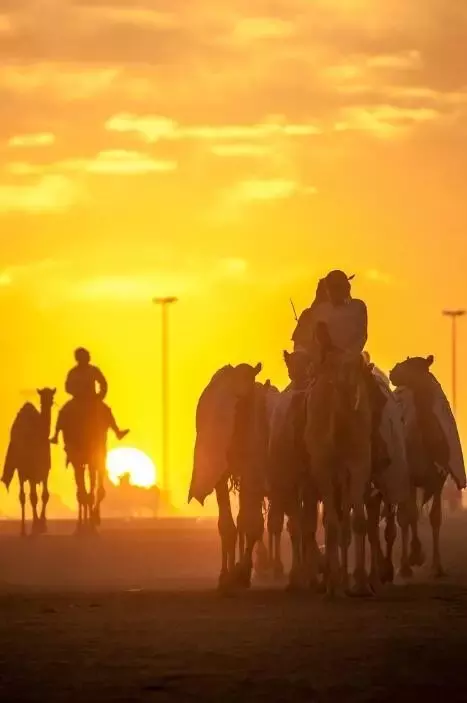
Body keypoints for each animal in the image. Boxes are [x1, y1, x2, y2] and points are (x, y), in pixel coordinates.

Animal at [1, 388, 56, 536]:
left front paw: (43, 524)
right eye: (41, 397)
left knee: (26, 496)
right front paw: (37, 525)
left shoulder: (45, 471)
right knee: (24, 497)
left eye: (52, 396)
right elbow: (34, 497)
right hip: (21, 471)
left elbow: (45, 495)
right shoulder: (32, 472)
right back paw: (23, 529)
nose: (48, 403)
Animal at [190, 366, 270, 592]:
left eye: (248, 397)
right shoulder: (223, 471)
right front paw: (225, 575)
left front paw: (241, 573)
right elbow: (227, 524)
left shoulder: (254, 467)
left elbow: (251, 522)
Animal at [392, 354, 464, 580]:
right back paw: (406, 563)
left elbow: (435, 517)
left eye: (417, 365)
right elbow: (409, 515)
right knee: (406, 515)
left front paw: (437, 566)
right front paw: (413, 557)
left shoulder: (438, 479)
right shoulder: (410, 477)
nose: (393, 371)